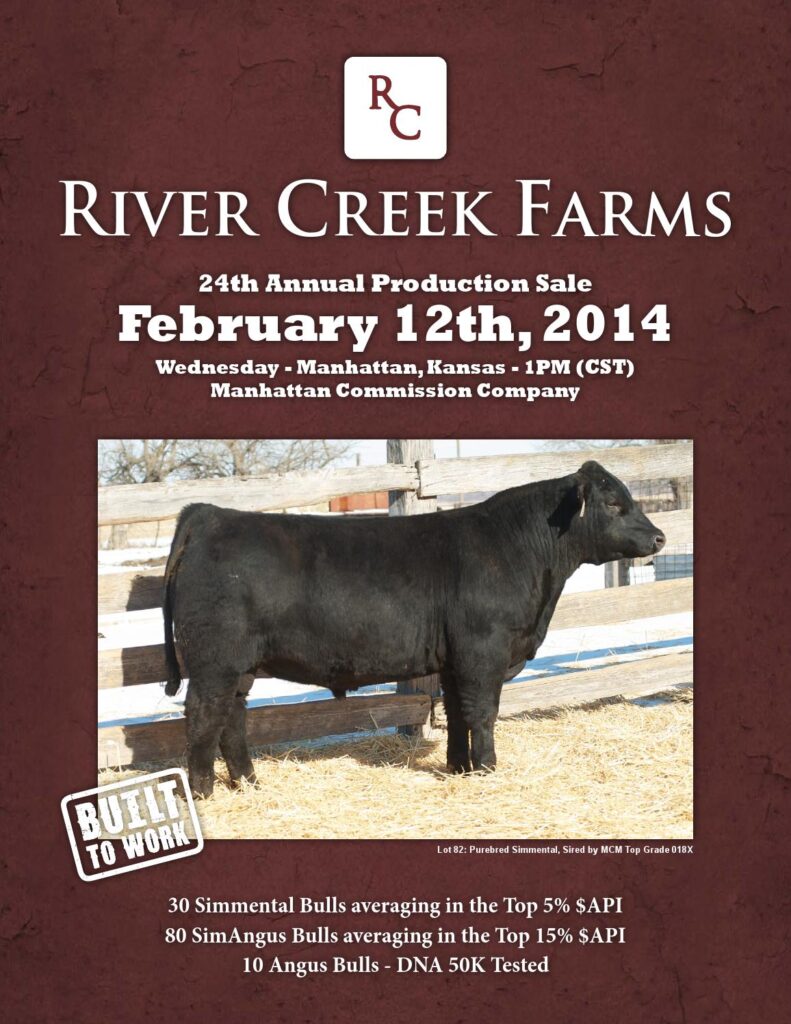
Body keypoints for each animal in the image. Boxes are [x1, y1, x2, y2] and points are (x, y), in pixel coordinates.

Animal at [163, 461, 666, 797]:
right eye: (614, 503)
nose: (659, 537)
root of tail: (211, 513)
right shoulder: (483, 652)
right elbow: (483, 713)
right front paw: (487, 769)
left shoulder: (456, 660)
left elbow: (458, 714)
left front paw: (460, 768)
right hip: (215, 661)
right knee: (204, 715)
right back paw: (204, 792)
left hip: (239, 667)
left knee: (232, 718)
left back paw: (248, 783)